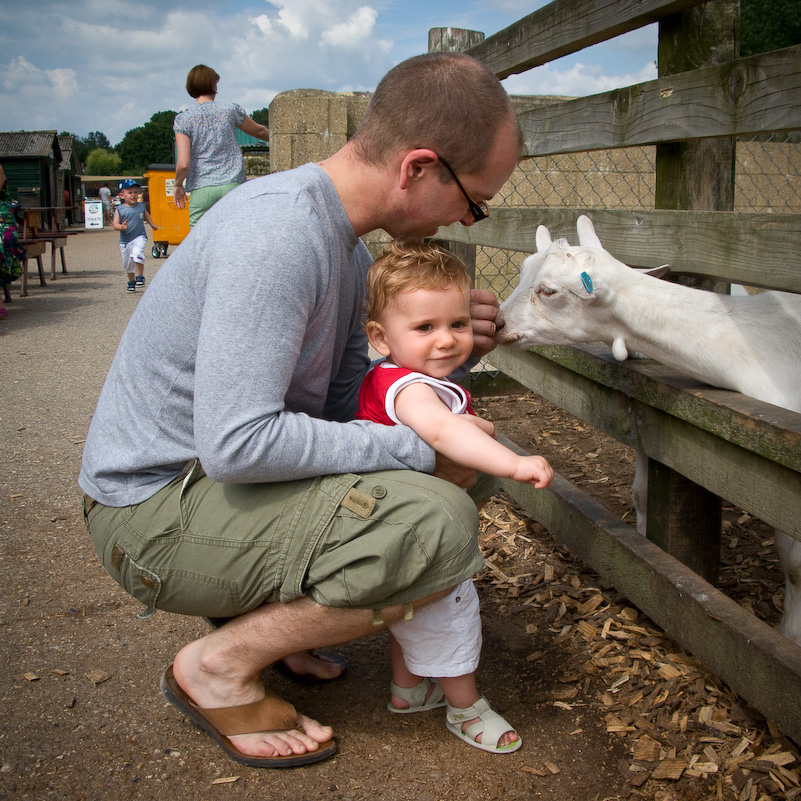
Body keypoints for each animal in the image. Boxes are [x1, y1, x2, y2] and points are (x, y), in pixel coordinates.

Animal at [496, 216, 800, 640]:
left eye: (549, 290)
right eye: (524, 271)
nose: (497, 321)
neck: (760, 349)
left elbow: (794, 562)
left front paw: (790, 634)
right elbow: (641, 493)